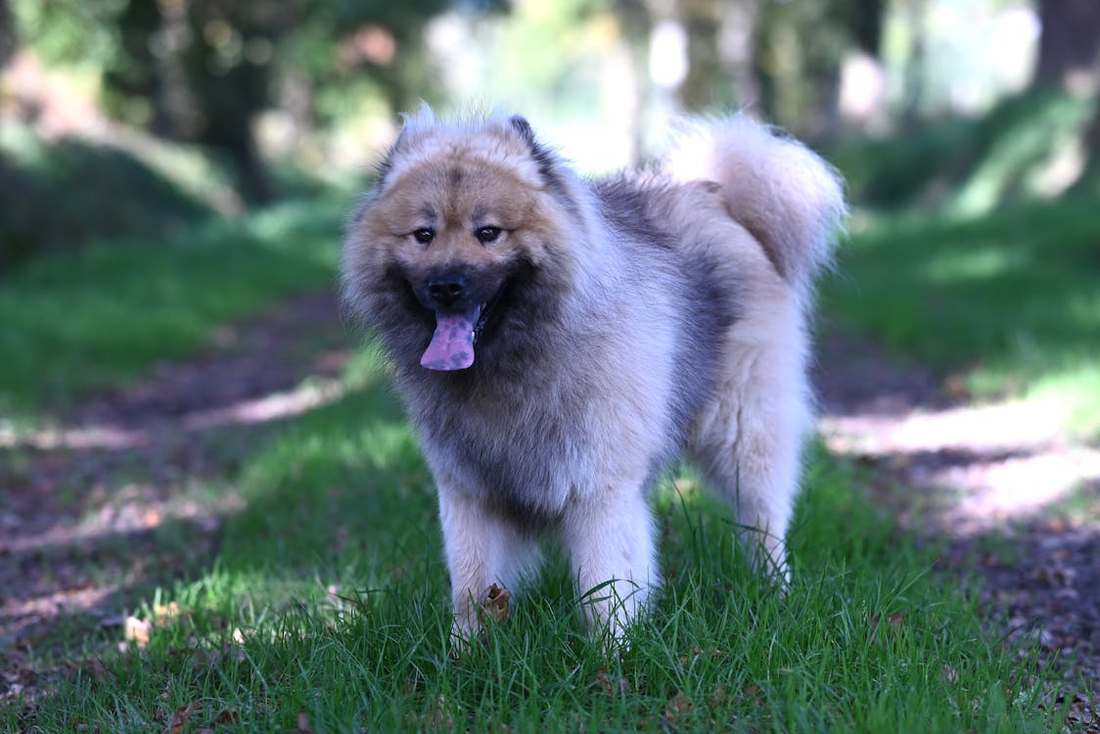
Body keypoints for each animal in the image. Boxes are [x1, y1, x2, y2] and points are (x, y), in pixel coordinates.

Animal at [338, 106, 844, 647]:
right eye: (424, 234)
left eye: (488, 232)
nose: (445, 286)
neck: (516, 363)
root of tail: (722, 201)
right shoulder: (469, 489)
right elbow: (472, 583)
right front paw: (465, 651)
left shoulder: (598, 488)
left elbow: (604, 583)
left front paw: (611, 653)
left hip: (743, 431)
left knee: (765, 522)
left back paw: (776, 593)